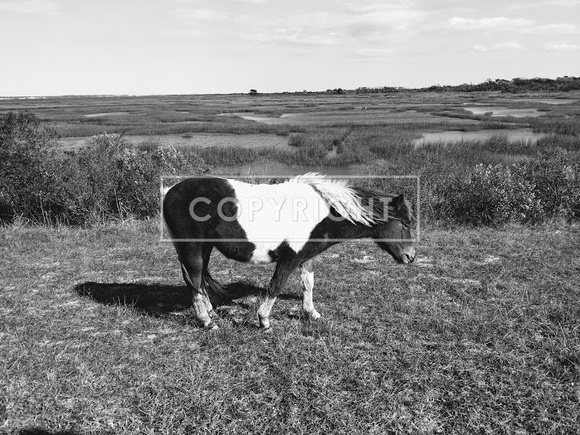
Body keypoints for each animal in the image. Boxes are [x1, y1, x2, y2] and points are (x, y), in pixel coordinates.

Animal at [162, 174, 416, 330]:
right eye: (404, 224)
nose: (411, 256)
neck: (321, 213)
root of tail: (169, 191)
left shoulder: (306, 257)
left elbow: (308, 284)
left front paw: (311, 313)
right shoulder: (289, 258)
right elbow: (276, 286)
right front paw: (264, 321)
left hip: (204, 247)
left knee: (199, 280)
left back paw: (210, 313)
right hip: (191, 247)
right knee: (193, 280)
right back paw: (207, 321)